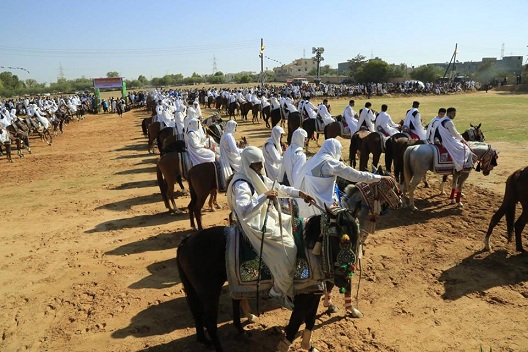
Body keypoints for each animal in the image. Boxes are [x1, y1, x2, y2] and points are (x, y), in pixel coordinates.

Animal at [177, 206, 364, 352]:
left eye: (356, 239)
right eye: (334, 239)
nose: (344, 279)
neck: (311, 247)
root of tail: (187, 241)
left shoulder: (313, 292)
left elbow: (309, 321)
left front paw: (308, 346)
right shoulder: (304, 295)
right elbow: (294, 325)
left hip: (199, 289)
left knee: (202, 311)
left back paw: (220, 336)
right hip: (209, 292)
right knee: (209, 322)